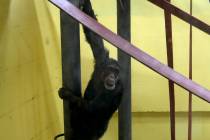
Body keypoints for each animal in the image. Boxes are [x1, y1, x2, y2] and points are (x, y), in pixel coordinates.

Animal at [56, 0, 124, 140]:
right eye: (110, 69)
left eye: (116, 72)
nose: (112, 77)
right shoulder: (101, 59)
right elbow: (93, 35)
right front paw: (85, 3)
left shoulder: (116, 89)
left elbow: (91, 108)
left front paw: (65, 93)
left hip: (96, 132)